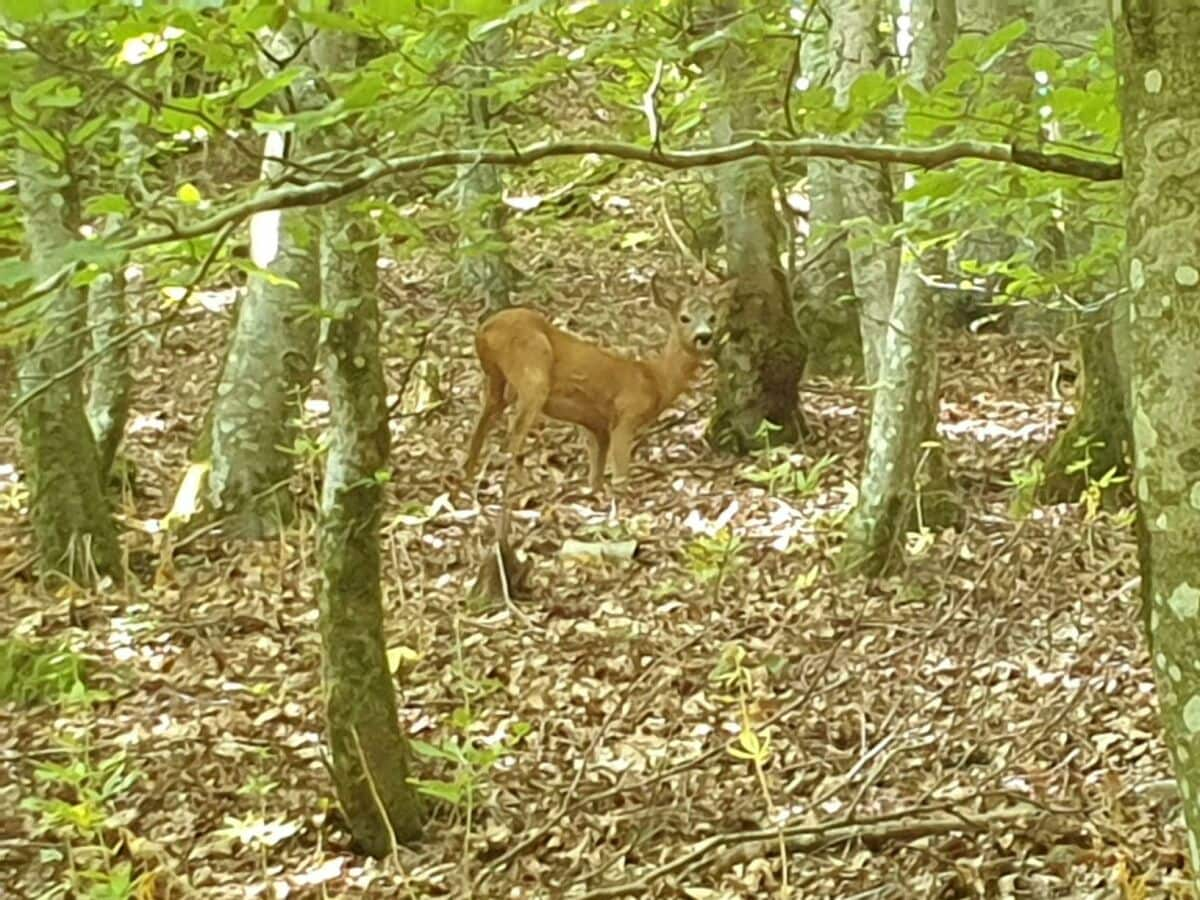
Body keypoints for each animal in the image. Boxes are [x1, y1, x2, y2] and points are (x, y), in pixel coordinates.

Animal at [463, 278, 715, 494]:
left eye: (712, 317)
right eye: (684, 317)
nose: (704, 336)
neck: (655, 378)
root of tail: (484, 330)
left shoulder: (597, 426)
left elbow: (596, 476)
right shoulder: (626, 415)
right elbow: (620, 477)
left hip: (497, 379)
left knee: (481, 426)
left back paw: (467, 478)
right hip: (533, 372)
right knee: (509, 443)